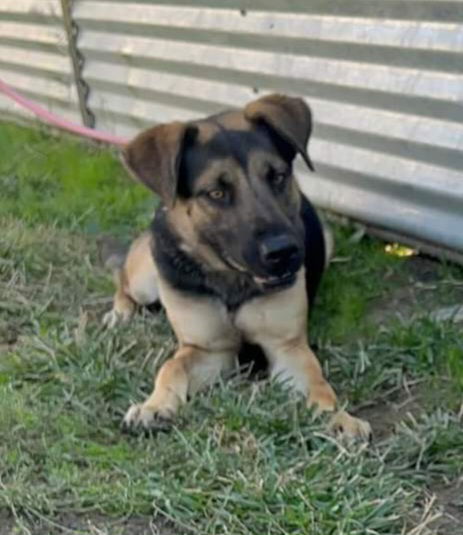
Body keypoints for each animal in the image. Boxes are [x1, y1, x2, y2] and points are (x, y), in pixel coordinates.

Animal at [103, 95, 372, 440]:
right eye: (217, 193)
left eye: (277, 176)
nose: (283, 252)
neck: (232, 280)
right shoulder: (207, 349)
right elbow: (171, 366)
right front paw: (154, 405)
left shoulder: (286, 347)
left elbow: (317, 382)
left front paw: (338, 417)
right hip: (146, 279)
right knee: (122, 278)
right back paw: (120, 312)